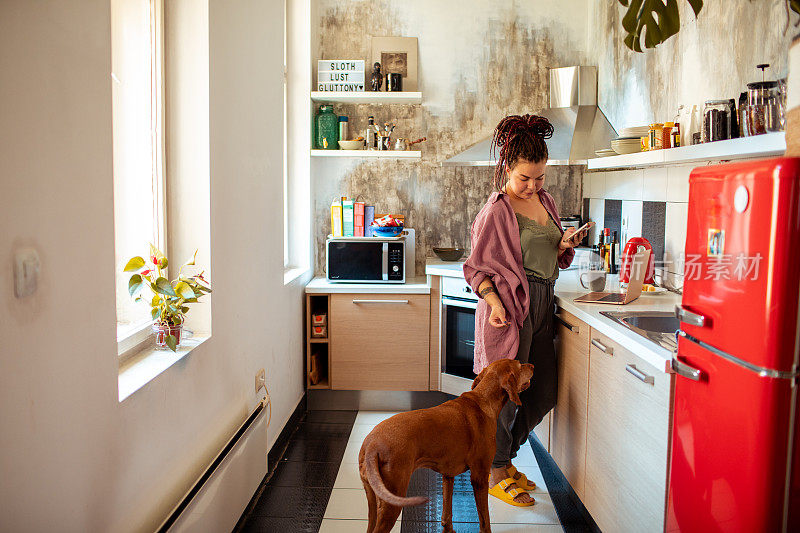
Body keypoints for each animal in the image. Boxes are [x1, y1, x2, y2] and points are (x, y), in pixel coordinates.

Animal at [358, 358, 536, 532]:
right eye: (519, 364)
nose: (533, 365)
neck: (482, 399)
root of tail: (372, 445)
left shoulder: (448, 475)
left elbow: (447, 512)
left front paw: (448, 528)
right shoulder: (479, 477)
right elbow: (485, 520)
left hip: (373, 500)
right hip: (392, 500)